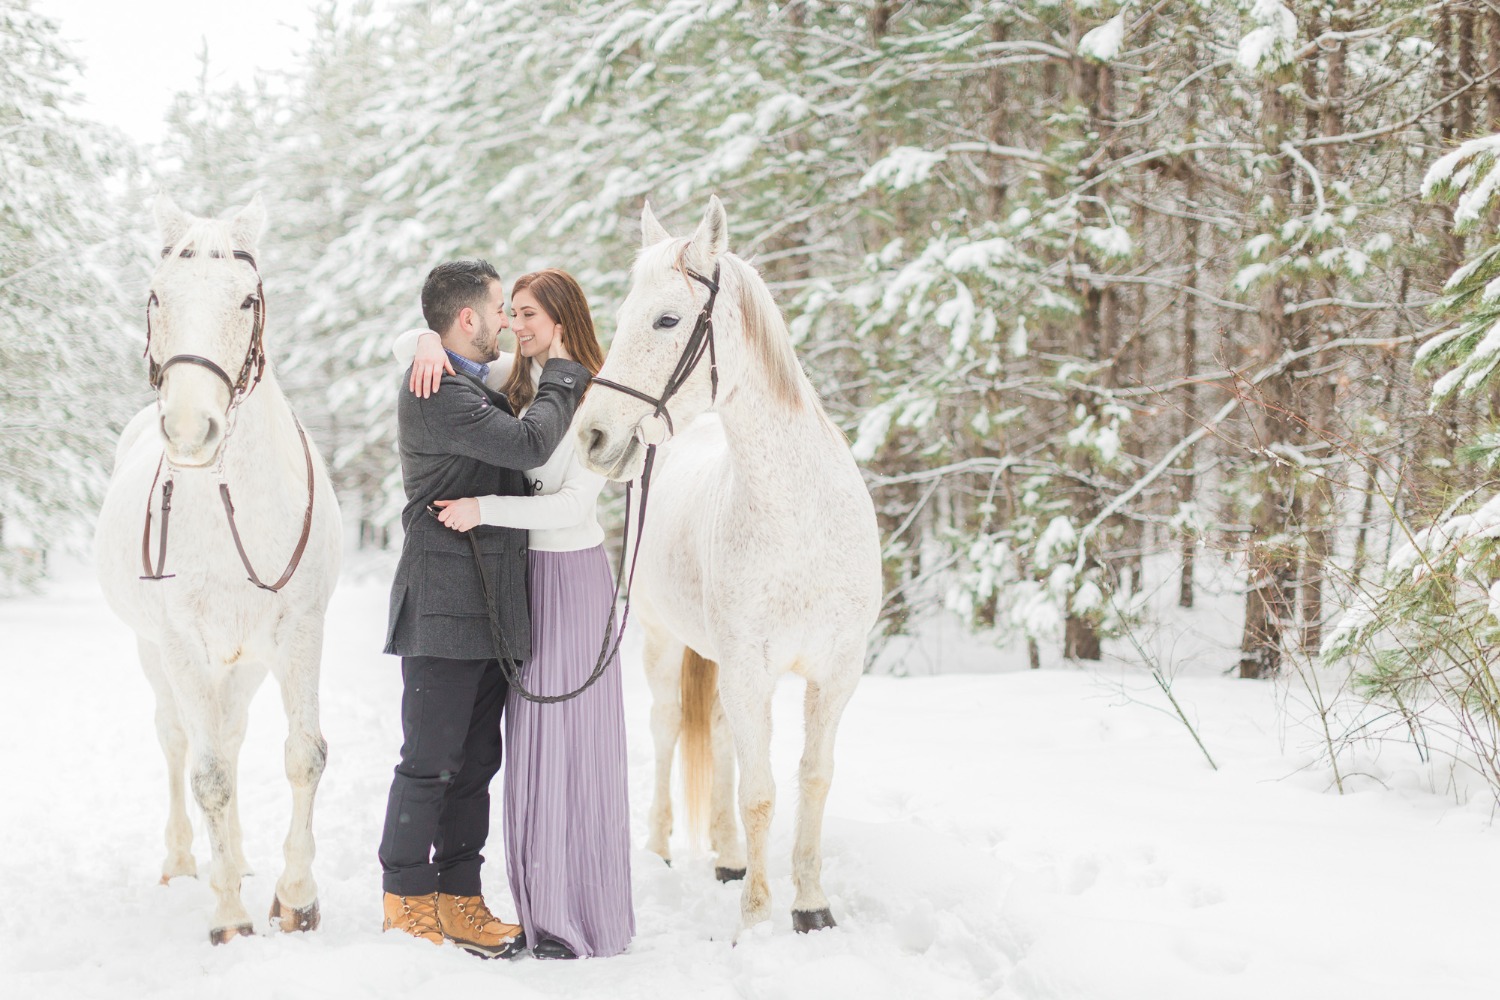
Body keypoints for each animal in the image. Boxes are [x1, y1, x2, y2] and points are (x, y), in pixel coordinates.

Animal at [98, 197, 343, 947]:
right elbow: (206, 774)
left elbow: (303, 755)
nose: (188, 430)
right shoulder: (181, 644)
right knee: (182, 742)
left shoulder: (299, 633)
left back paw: (237, 859)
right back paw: (188, 862)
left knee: (231, 740)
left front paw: (295, 899)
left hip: (244, 664)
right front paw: (229, 914)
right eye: (156, 296)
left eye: (246, 299)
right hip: (159, 654)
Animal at [570, 197, 876, 941]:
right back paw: (660, 849)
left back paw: (731, 858)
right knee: (668, 727)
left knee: (720, 740)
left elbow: (811, 778)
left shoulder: (835, 673)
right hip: (663, 644)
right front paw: (757, 920)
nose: (592, 436)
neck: (799, 521)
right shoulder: (746, 668)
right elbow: (760, 792)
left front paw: (809, 905)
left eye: (666, 319)